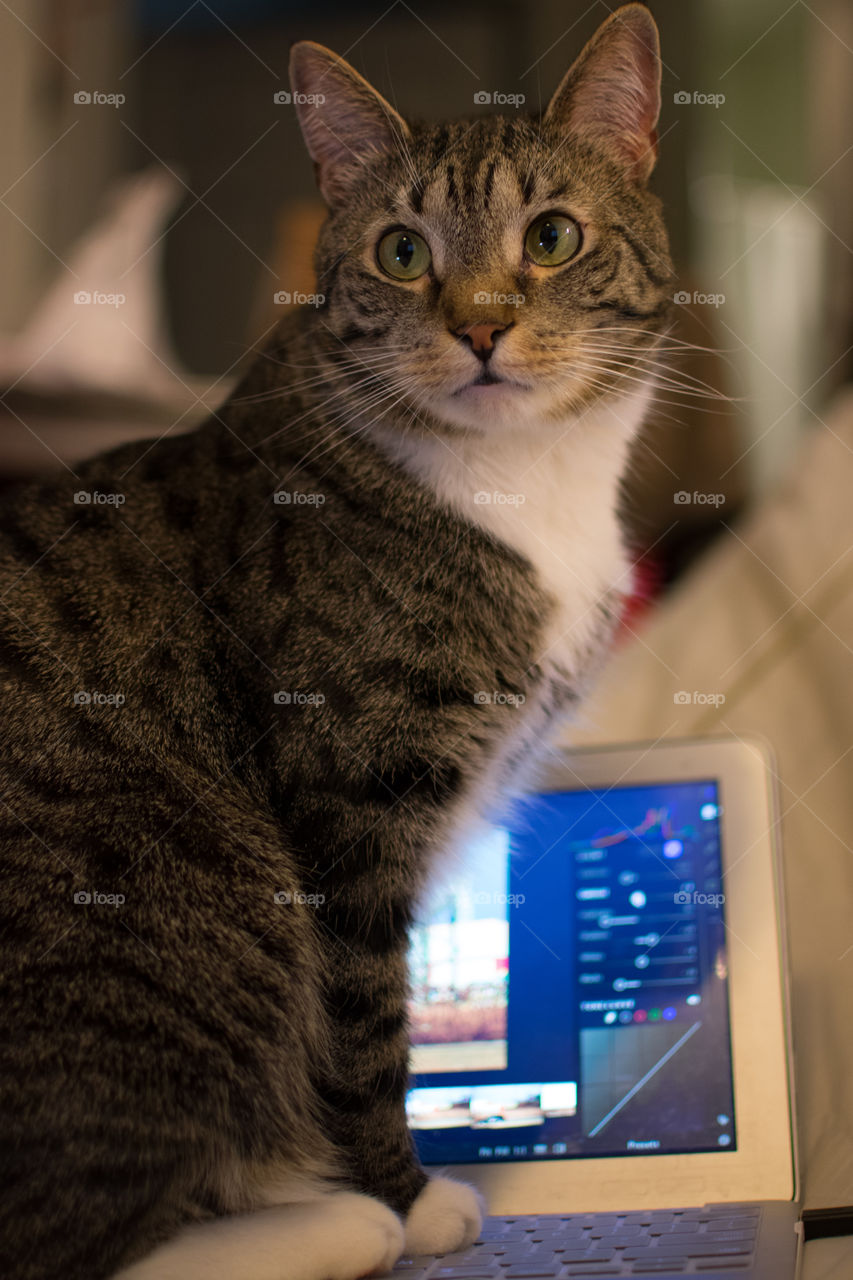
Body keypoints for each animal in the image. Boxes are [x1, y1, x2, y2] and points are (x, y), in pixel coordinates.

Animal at [0, 5, 671, 1274]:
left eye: (552, 237)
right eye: (403, 253)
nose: (481, 325)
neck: (520, 487)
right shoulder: (351, 811)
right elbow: (363, 1034)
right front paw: (408, 1196)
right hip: (193, 930)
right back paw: (338, 1218)